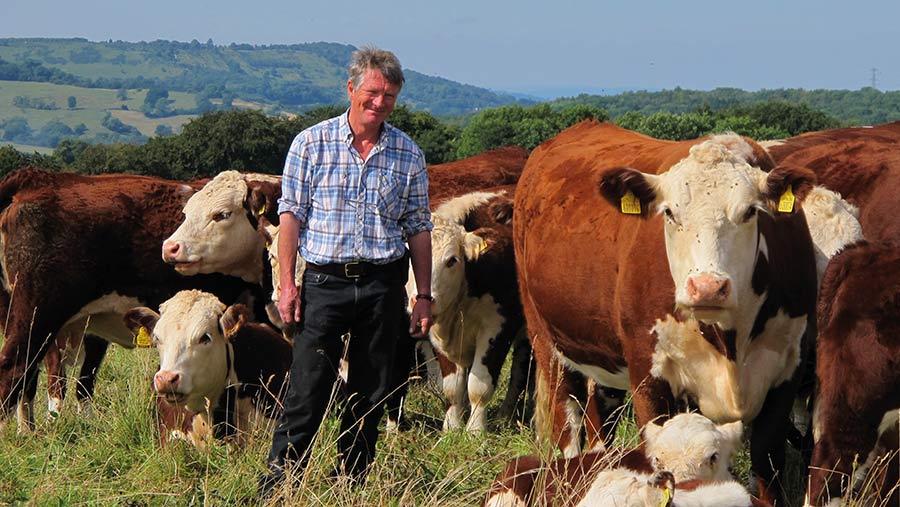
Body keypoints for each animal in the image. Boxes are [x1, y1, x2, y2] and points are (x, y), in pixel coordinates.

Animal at [416, 187, 536, 432]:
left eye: (452, 260)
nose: (423, 300)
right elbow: (452, 386)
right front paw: (452, 427)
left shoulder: (498, 327)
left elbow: (478, 386)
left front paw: (475, 430)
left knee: (520, 370)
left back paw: (505, 416)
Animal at [512, 121, 824, 506]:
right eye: (670, 213)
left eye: (750, 212)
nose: (707, 287)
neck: (730, 338)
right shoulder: (648, 372)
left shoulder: (786, 369)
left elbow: (767, 462)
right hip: (546, 338)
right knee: (566, 415)